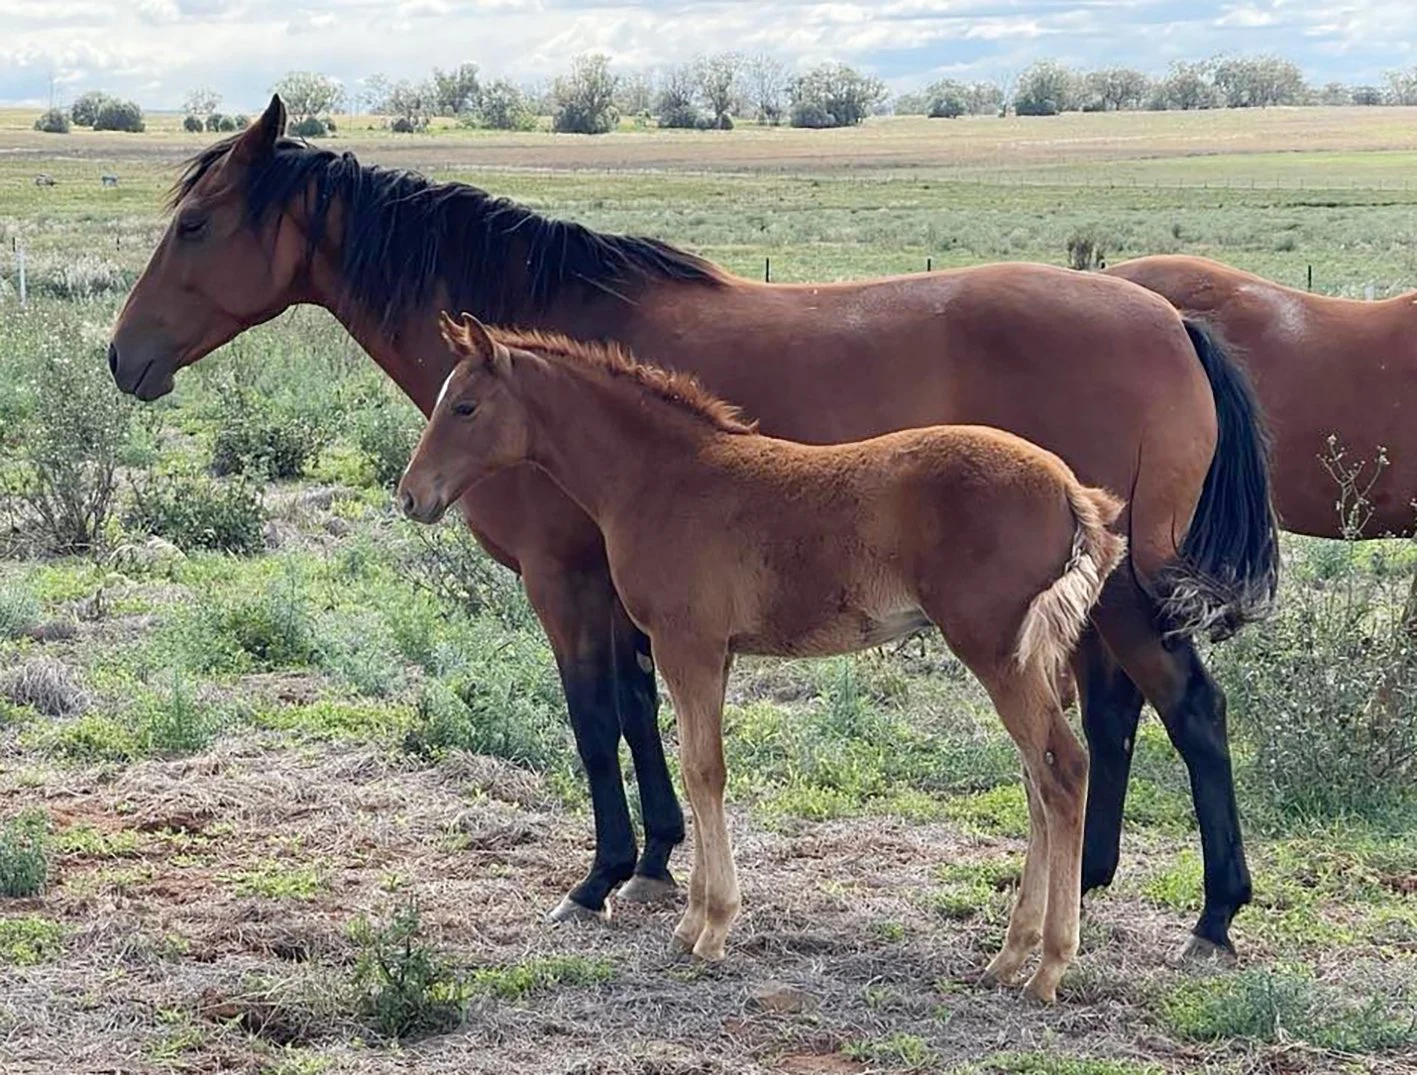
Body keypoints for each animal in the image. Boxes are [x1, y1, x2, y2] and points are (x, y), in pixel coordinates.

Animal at [400, 312, 1128, 1003]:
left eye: (464, 406)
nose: (411, 496)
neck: (660, 477)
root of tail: (1072, 489)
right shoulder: (711, 654)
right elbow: (699, 768)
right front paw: (690, 920)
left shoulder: (685, 644)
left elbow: (703, 771)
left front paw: (711, 927)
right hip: (1034, 655)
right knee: (1036, 780)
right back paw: (1007, 957)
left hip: (996, 649)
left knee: (1062, 770)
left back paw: (1047, 967)